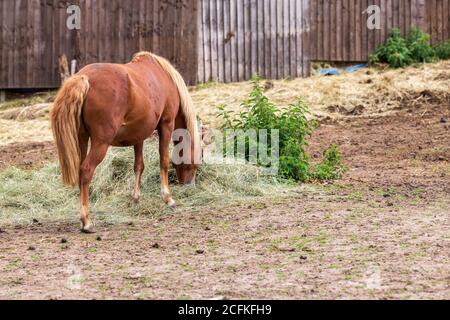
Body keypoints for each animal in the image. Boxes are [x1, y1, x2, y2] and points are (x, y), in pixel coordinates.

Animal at [49, 52, 202, 232]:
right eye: (196, 160)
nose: (189, 185)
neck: (164, 76)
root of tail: (84, 78)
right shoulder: (166, 124)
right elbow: (163, 161)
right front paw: (168, 198)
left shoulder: (139, 134)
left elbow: (139, 166)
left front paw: (136, 198)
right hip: (100, 143)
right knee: (86, 171)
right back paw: (86, 221)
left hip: (82, 139)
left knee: (81, 170)